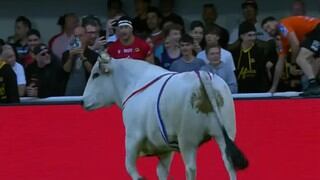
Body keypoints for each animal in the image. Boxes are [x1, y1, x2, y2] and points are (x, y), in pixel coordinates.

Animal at [82, 51, 248, 179]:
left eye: (95, 75)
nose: (83, 101)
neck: (134, 82)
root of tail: (203, 76)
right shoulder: (164, 149)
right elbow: (161, 171)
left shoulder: (132, 137)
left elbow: (129, 166)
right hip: (224, 135)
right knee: (229, 163)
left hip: (187, 140)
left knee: (190, 168)